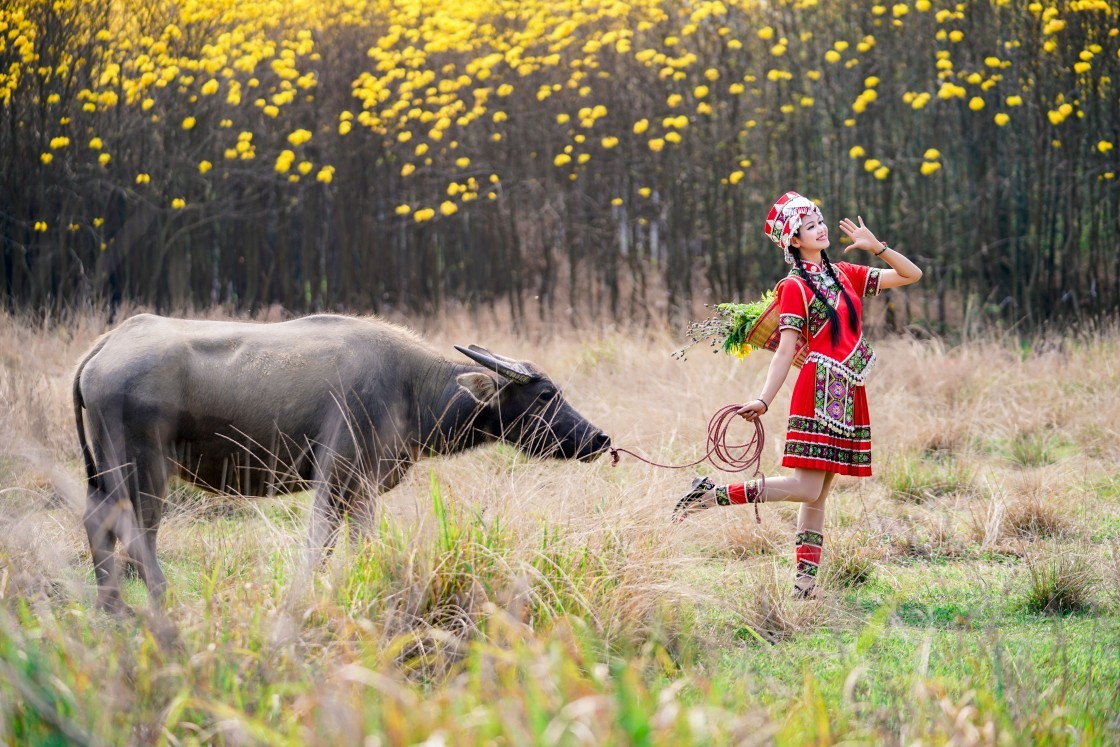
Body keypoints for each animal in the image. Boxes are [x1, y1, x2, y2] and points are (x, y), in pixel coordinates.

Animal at [73, 313, 609, 609]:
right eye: (545, 394)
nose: (599, 437)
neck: (410, 386)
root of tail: (106, 347)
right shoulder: (341, 479)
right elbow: (326, 543)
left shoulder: (359, 487)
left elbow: (357, 544)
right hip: (143, 469)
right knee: (135, 530)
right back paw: (153, 598)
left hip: (106, 473)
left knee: (98, 521)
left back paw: (110, 604)